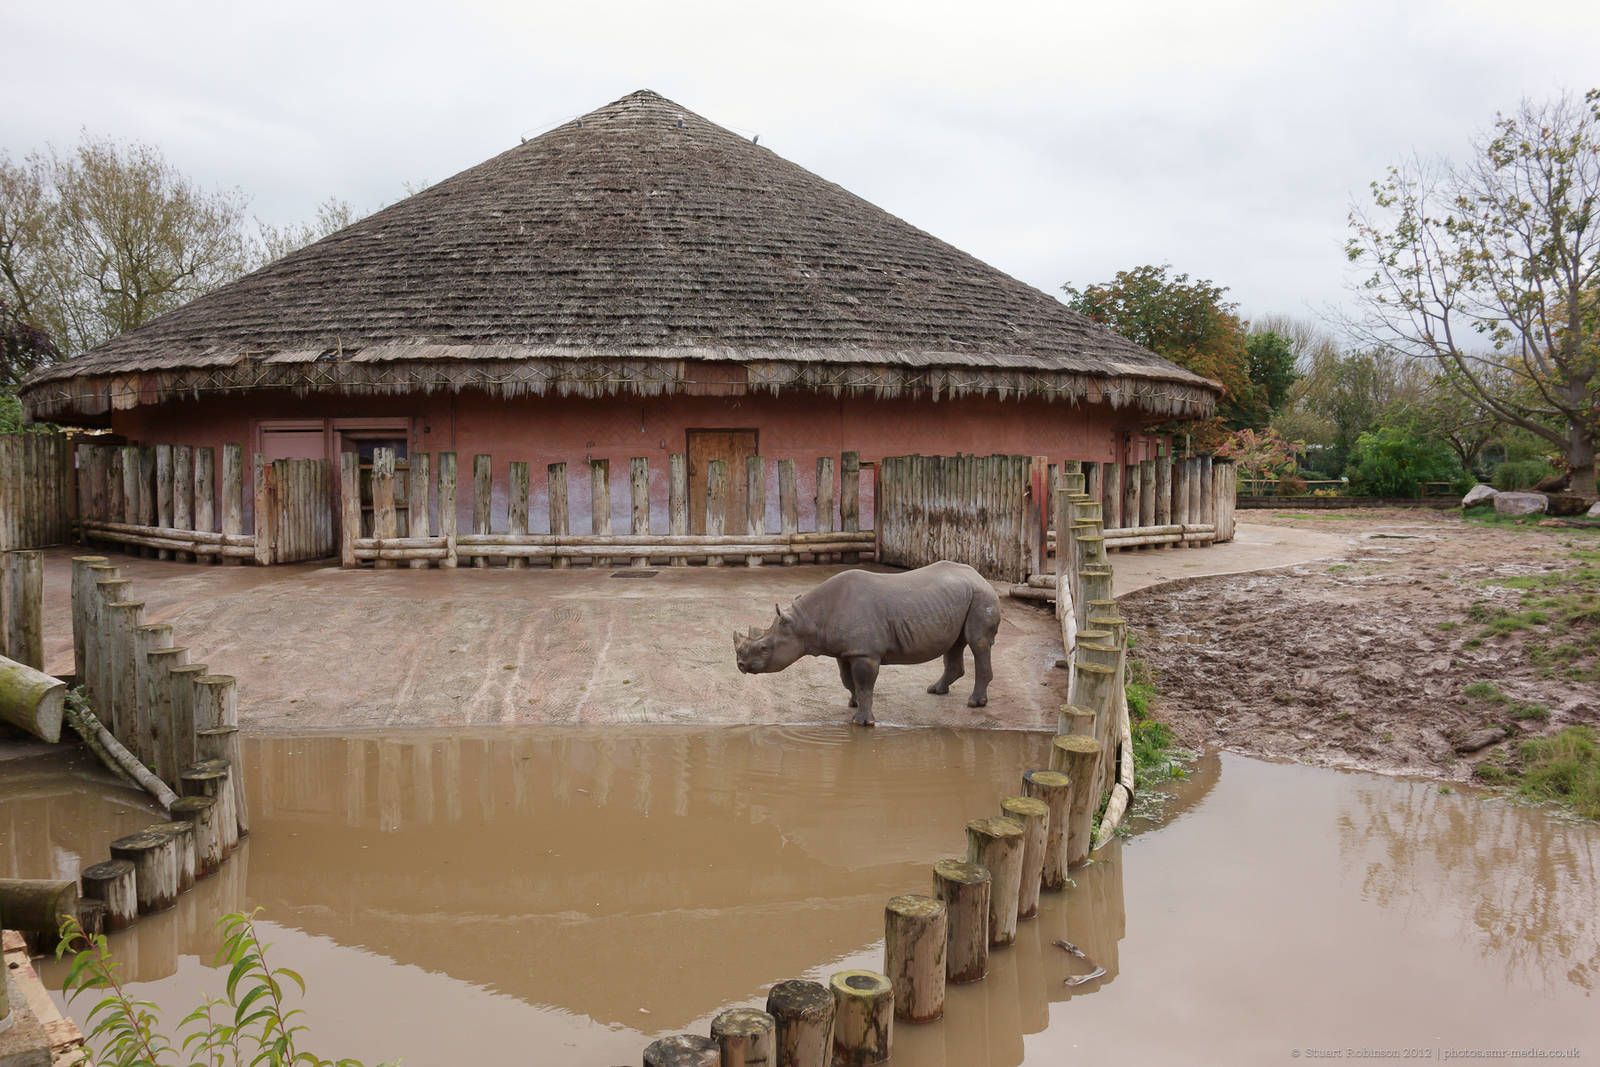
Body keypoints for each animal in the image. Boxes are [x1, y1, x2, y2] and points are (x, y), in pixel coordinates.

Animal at [733, 560, 1001, 726]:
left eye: (764, 648)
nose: (740, 665)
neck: (806, 621)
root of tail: (980, 576)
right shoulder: (845, 651)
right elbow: (848, 680)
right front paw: (853, 704)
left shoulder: (865, 653)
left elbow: (864, 684)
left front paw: (863, 722)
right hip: (960, 598)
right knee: (955, 644)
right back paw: (936, 690)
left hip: (982, 597)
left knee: (978, 643)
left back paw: (975, 703)